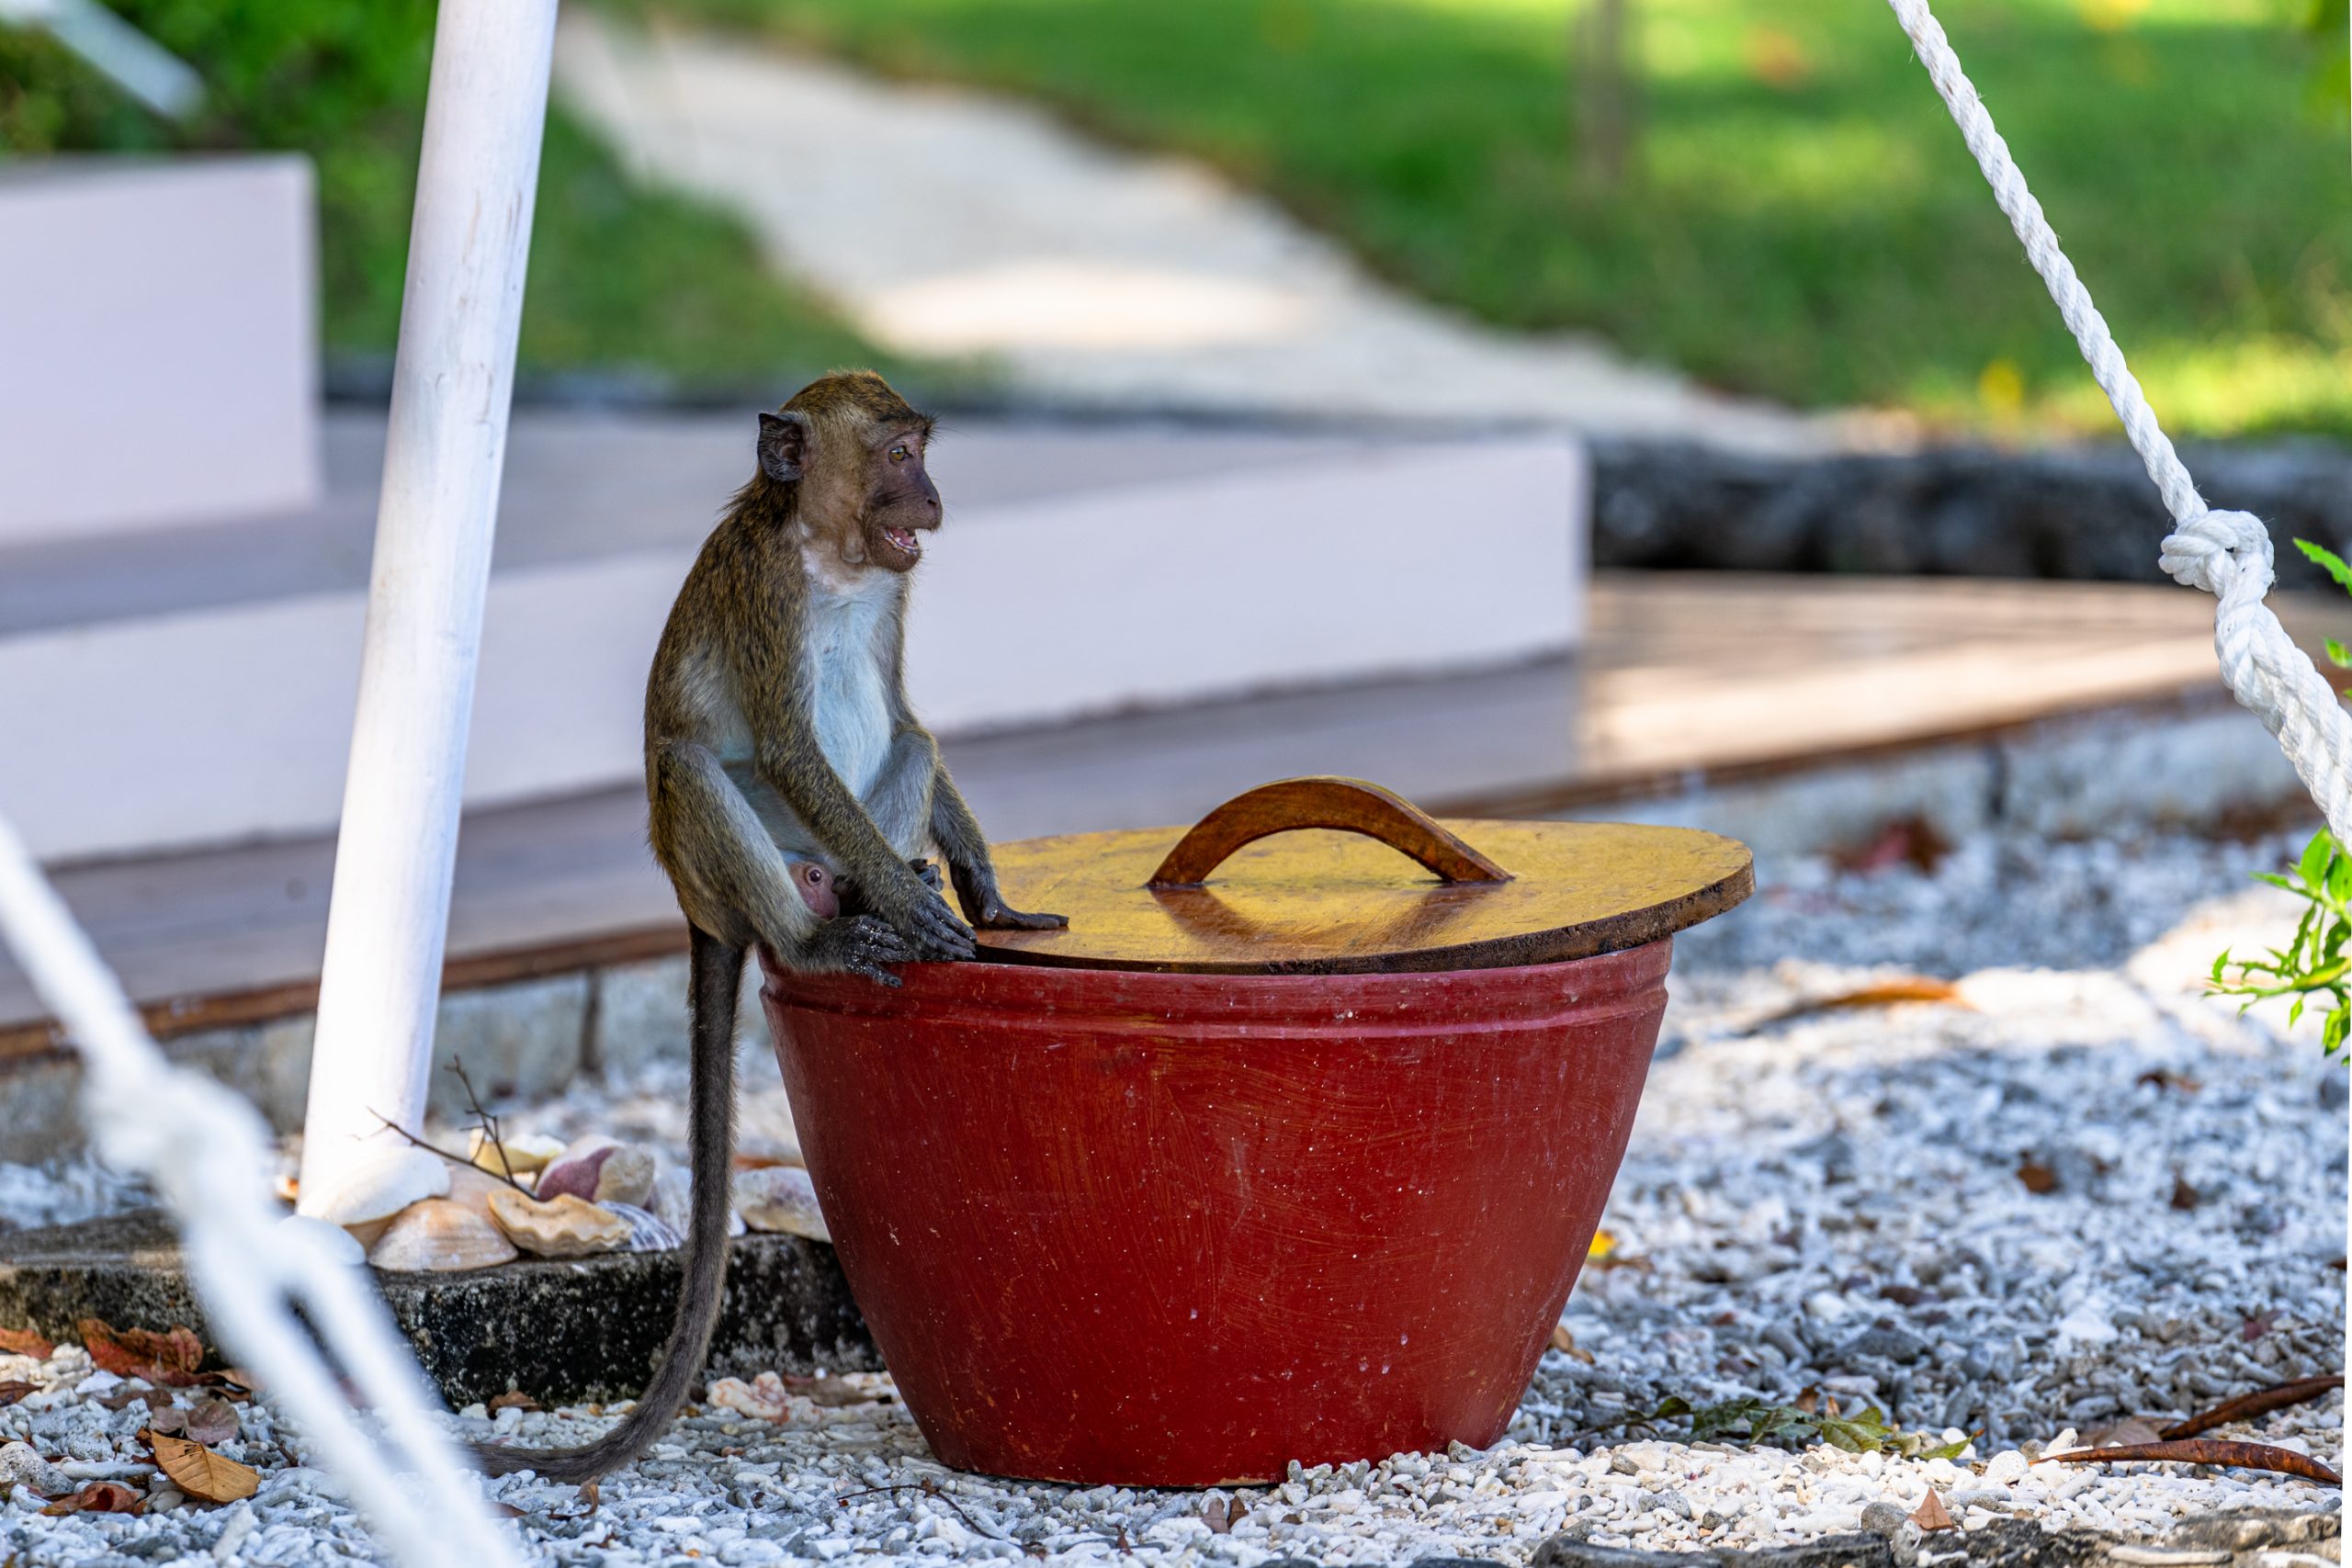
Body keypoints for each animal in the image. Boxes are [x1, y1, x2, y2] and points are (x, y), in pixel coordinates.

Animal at [473, 371, 1064, 1482]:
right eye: (897, 455)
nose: (930, 496)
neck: (830, 557)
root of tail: (699, 907)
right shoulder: (767, 592)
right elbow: (790, 748)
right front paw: (920, 909)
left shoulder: (894, 592)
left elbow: (906, 714)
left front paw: (980, 890)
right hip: (725, 863)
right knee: (699, 766)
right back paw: (823, 938)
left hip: (830, 848)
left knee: (906, 741)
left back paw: (885, 889)